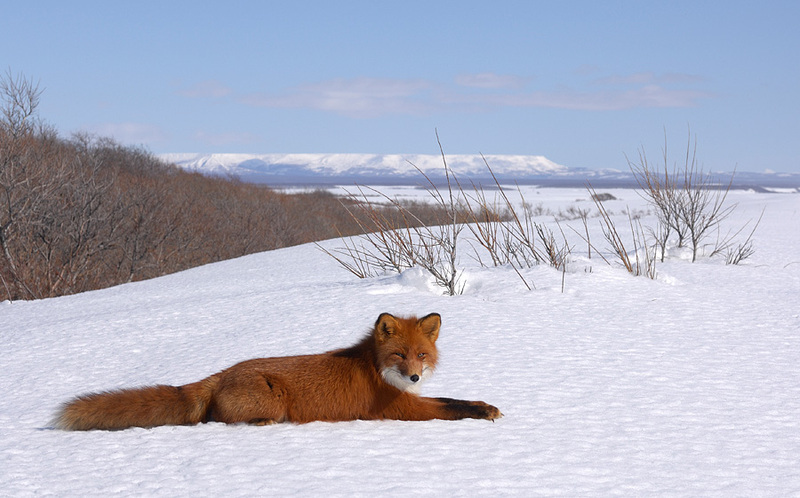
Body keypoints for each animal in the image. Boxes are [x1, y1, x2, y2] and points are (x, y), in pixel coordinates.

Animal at [56, 314, 504, 430]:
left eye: (421, 356)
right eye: (399, 356)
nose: (414, 378)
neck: (374, 370)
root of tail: (221, 373)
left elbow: (455, 398)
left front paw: (487, 405)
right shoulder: (400, 410)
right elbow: (450, 407)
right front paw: (482, 411)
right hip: (273, 399)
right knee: (217, 419)